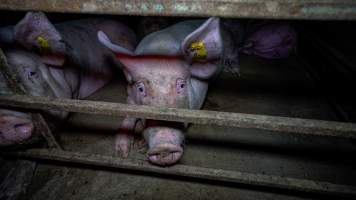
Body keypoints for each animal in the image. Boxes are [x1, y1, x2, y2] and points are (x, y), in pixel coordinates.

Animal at [98, 17, 239, 165]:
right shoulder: (130, 92)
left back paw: (235, 72)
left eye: (181, 85)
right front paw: (121, 153)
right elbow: (128, 113)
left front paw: (140, 146)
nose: (163, 146)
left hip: (231, 44)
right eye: (141, 88)